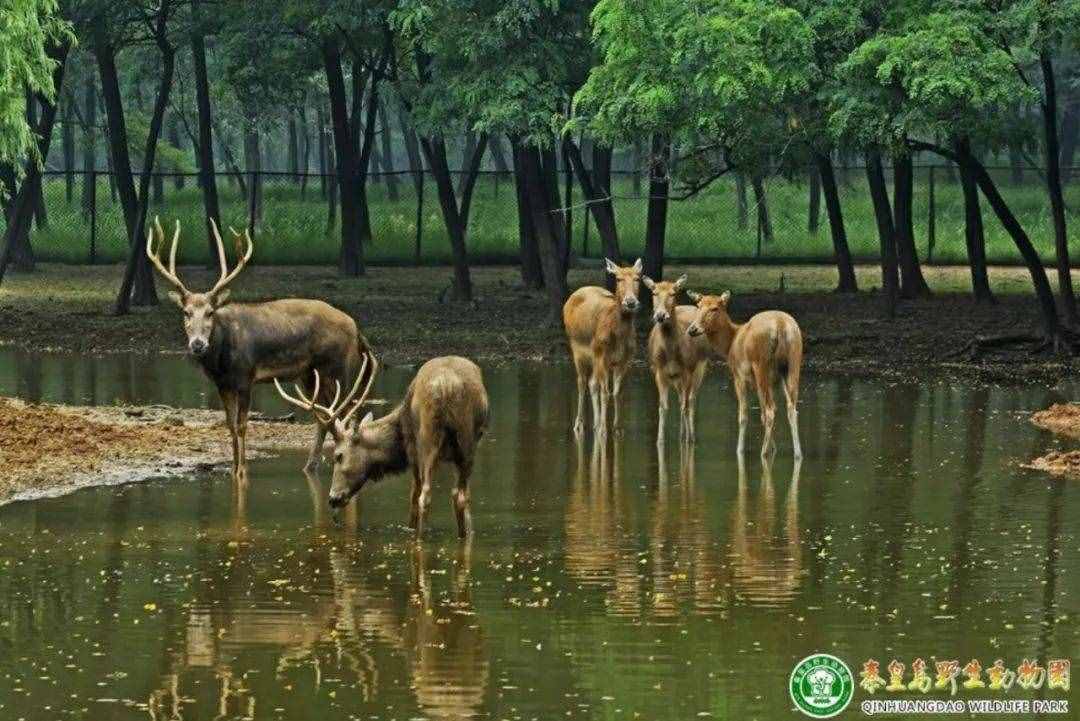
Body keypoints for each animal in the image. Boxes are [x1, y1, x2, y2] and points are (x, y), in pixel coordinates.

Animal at [146, 216, 375, 481]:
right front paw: (233, 468)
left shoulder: (246, 376)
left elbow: (243, 425)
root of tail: (357, 329)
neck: (222, 360)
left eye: (210, 312)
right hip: (310, 375)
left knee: (348, 412)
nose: (198, 344)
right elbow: (230, 425)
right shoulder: (223, 384)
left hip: (338, 367)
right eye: (186, 312)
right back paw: (310, 466)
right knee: (325, 416)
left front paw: (242, 471)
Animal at [274, 354, 490, 535]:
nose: (333, 498)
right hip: (468, 441)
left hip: (427, 439)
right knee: (460, 496)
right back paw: (463, 535)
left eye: (338, 455)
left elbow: (413, 496)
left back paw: (419, 537)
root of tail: (448, 387)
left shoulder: (412, 452)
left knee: (425, 495)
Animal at [565, 262, 639, 436]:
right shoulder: (602, 355)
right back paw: (579, 424)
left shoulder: (625, 360)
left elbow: (616, 392)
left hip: (594, 359)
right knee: (582, 382)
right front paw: (604, 429)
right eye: (618, 278)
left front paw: (617, 427)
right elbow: (605, 392)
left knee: (592, 383)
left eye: (638, 278)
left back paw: (596, 423)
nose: (630, 302)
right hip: (577, 349)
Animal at [643, 273, 712, 444]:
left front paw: (688, 439)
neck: (670, 353)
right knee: (682, 398)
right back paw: (681, 433)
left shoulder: (687, 369)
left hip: (700, 367)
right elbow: (663, 407)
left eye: (673, 293)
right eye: (654, 293)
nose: (660, 315)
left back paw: (689, 435)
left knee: (691, 400)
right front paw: (660, 440)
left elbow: (685, 405)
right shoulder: (658, 371)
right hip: (676, 378)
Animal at [682, 291, 803, 455]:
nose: (692, 329)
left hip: (760, 364)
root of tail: (781, 325)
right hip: (793, 363)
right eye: (699, 306)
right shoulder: (769, 382)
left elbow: (743, 415)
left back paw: (764, 452)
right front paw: (773, 448)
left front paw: (740, 449)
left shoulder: (738, 375)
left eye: (714, 308)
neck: (729, 346)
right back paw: (797, 453)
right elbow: (762, 414)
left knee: (771, 410)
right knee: (790, 409)